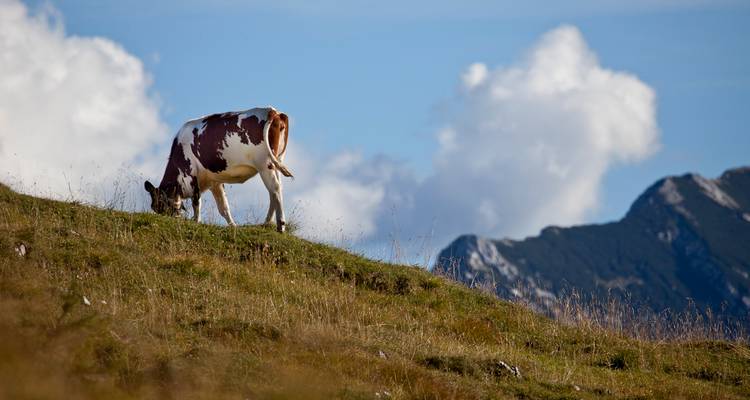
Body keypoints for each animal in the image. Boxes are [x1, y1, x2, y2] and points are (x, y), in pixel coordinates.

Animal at [144, 107, 293, 232]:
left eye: (160, 205)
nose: (170, 220)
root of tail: (272, 111)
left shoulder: (192, 176)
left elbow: (196, 202)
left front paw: (196, 222)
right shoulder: (214, 182)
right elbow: (223, 207)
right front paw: (233, 226)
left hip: (265, 163)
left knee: (275, 189)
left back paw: (280, 225)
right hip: (277, 160)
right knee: (275, 190)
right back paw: (267, 223)